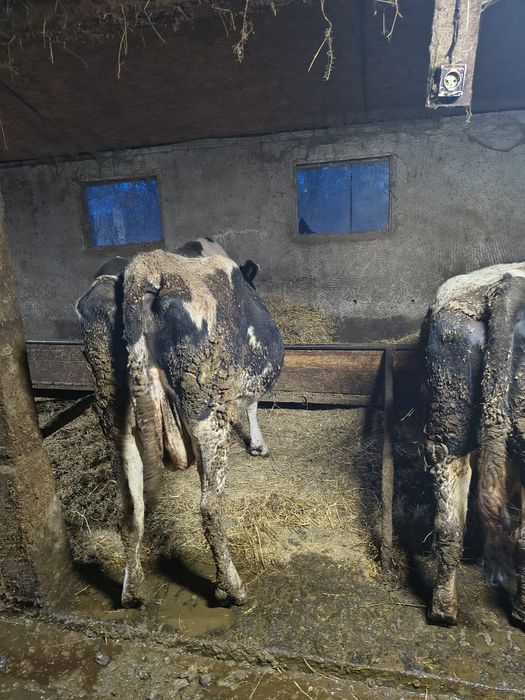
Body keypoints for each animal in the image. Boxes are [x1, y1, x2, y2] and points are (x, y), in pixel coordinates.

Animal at [76, 239, 284, 607]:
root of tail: (142, 269)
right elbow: (252, 405)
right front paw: (259, 445)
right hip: (205, 409)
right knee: (210, 506)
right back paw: (232, 588)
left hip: (115, 416)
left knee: (129, 511)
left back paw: (132, 592)